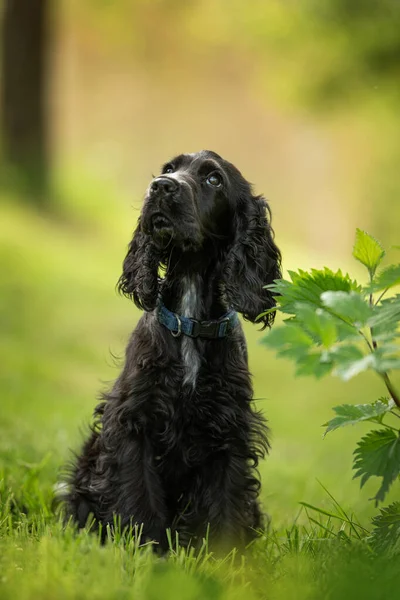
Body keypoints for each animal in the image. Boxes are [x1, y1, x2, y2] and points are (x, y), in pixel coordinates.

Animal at [65, 151, 282, 552]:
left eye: (214, 180)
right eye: (169, 169)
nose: (160, 187)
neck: (189, 319)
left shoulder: (228, 431)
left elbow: (226, 504)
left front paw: (228, 559)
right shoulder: (134, 421)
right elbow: (139, 497)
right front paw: (146, 552)